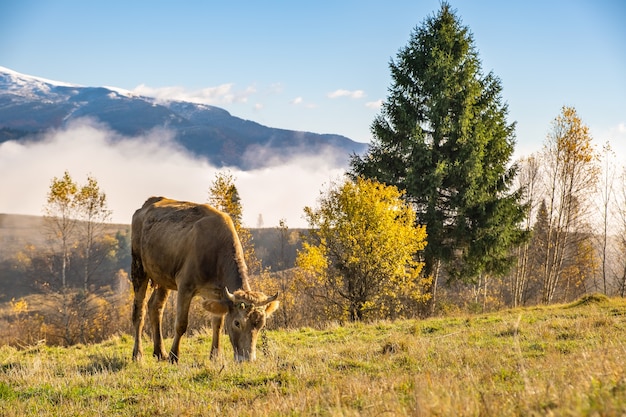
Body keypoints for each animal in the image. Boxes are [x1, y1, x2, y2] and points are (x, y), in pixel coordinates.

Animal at [131, 196, 278, 360]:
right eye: (237, 323)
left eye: (261, 324)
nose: (248, 359)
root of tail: (149, 202)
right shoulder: (185, 286)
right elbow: (181, 324)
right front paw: (174, 356)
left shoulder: (217, 293)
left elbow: (218, 323)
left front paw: (215, 355)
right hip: (138, 268)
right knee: (139, 311)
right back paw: (138, 354)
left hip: (163, 276)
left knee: (155, 307)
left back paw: (160, 352)